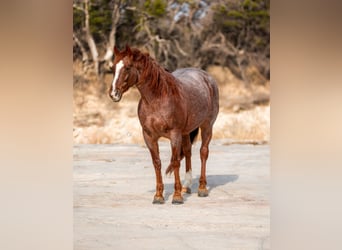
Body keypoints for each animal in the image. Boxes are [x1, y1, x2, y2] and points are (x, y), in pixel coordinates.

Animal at [109, 45, 219, 205]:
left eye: (128, 67)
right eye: (113, 68)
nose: (113, 94)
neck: (158, 99)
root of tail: (207, 77)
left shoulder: (174, 135)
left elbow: (175, 162)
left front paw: (177, 196)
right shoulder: (149, 136)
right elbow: (157, 163)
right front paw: (158, 196)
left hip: (207, 126)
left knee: (203, 152)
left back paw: (202, 188)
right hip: (186, 133)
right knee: (188, 152)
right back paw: (186, 186)